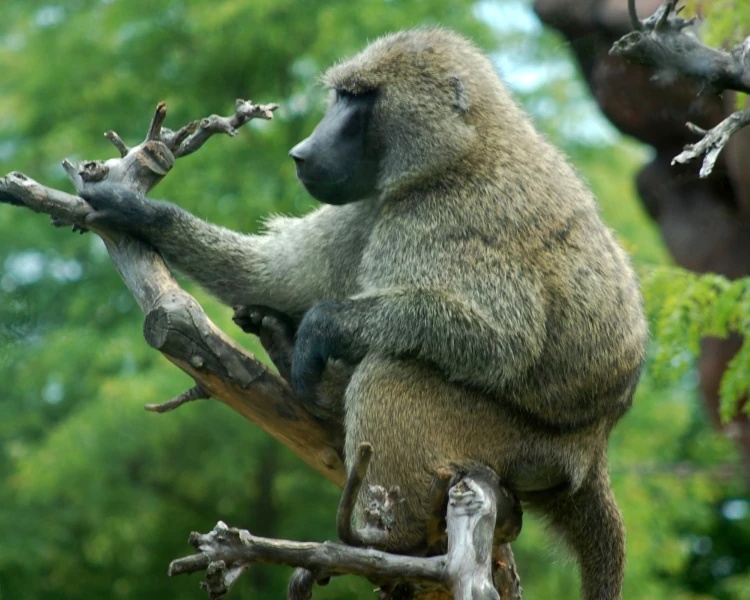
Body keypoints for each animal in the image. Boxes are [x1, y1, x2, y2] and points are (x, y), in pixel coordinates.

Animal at [80, 28, 648, 600]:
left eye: (362, 98)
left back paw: (388, 541)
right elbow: (276, 276)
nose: (302, 153)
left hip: (521, 447)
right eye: (341, 96)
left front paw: (318, 329)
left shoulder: (455, 215)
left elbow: (503, 342)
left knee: (392, 372)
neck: (458, 151)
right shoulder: (373, 203)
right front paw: (141, 214)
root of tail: (594, 449)